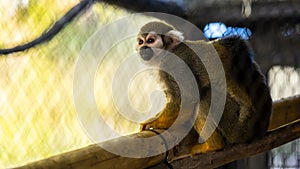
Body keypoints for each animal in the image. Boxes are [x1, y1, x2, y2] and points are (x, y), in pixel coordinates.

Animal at [136, 20, 272, 154]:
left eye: (150, 41)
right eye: (141, 42)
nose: (143, 48)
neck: (167, 54)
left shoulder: (176, 66)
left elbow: (188, 100)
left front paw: (153, 122)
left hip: (236, 127)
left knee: (204, 96)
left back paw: (213, 146)